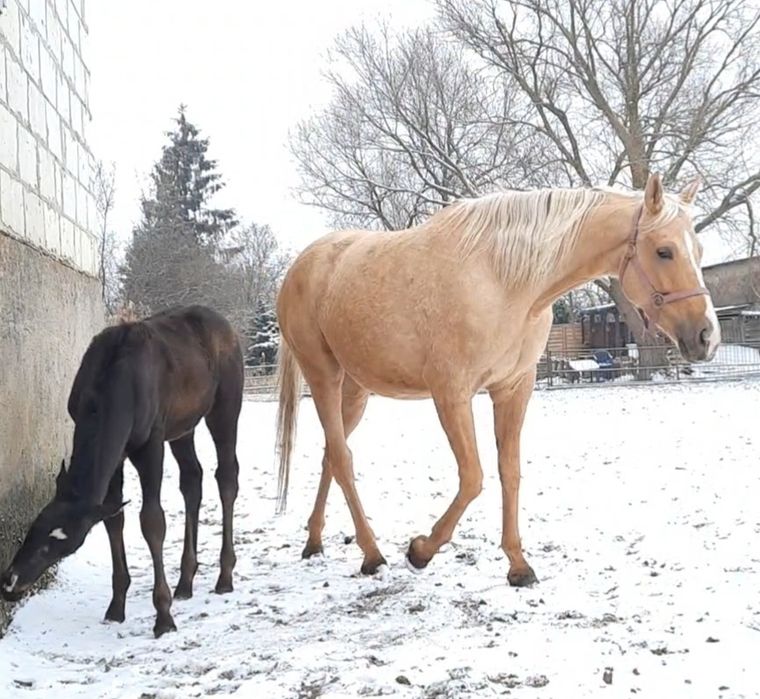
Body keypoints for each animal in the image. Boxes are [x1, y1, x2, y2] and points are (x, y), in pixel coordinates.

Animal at [0, 304, 243, 636]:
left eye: (58, 542)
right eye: (33, 529)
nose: (10, 582)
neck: (113, 389)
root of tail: (228, 327)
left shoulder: (150, 443)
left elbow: (152, 521)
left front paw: (163, 616)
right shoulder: (117, 457)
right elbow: (114, 517)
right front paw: (116, 607)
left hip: (224, 408)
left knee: (227, 477)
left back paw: (224, 576)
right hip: (182, 428)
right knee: (192, 480)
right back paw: (185, 581)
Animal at [274, 174, 720, 584]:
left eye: (698, 250)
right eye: (664, 251)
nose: (706, 336)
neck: (503, 281)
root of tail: (300, 266)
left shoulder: (513, 389)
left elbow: (510, 471)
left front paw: (518, 565)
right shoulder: (452, 394)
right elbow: (473, 477)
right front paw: (420, 550)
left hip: (356, 390)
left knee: (331, 456)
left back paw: (314, 542)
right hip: (323, 377)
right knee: (343, 459)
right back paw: (371, 554)